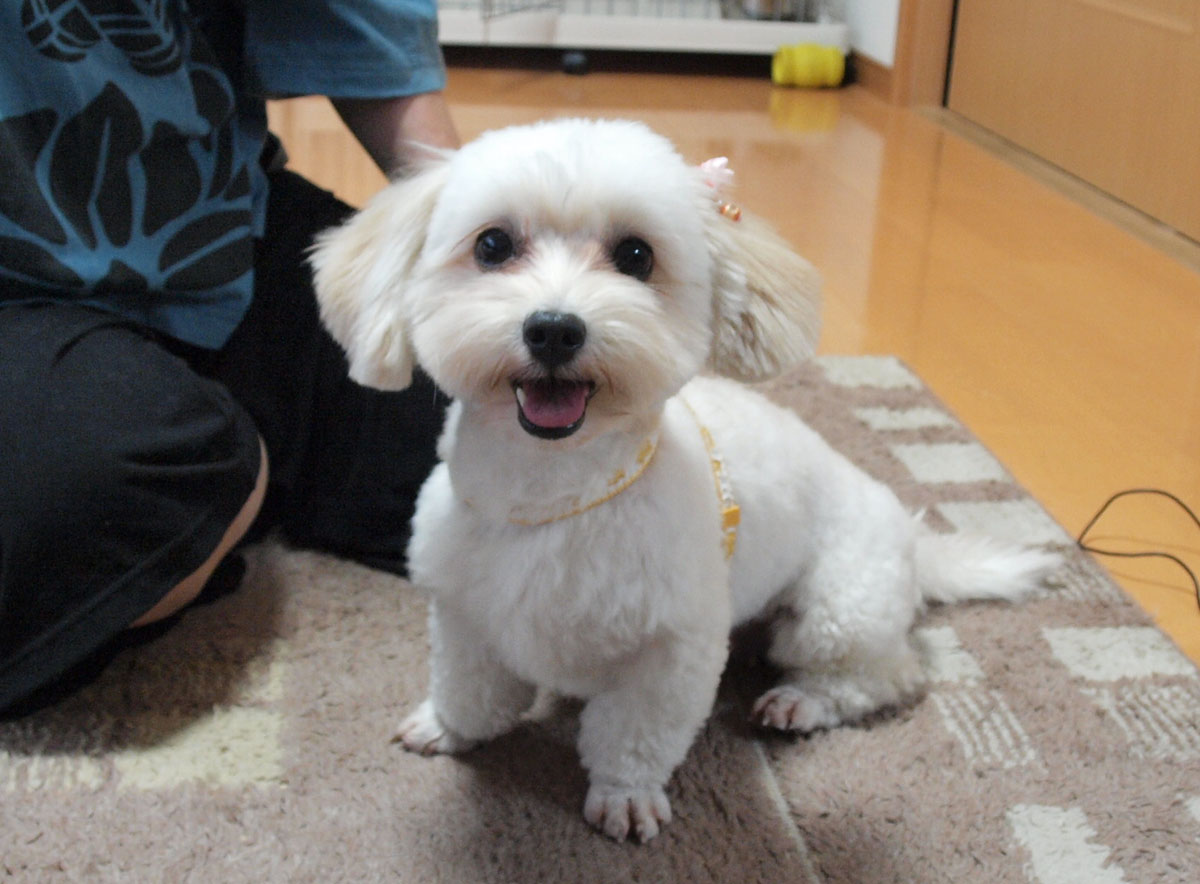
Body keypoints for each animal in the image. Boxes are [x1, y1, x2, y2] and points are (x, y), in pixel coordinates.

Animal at [310, 118, 1058, 843]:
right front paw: (448, 727)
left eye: (636, 256)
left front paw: (625, 797)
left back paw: (801, 700)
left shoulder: (672, 650)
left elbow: (634, 736)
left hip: (837, 610)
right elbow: (469, 690)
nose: (554, 329)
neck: (556, 493)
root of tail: (913, 540)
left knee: (888, 675)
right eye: (492, 245)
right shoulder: (465, 614)